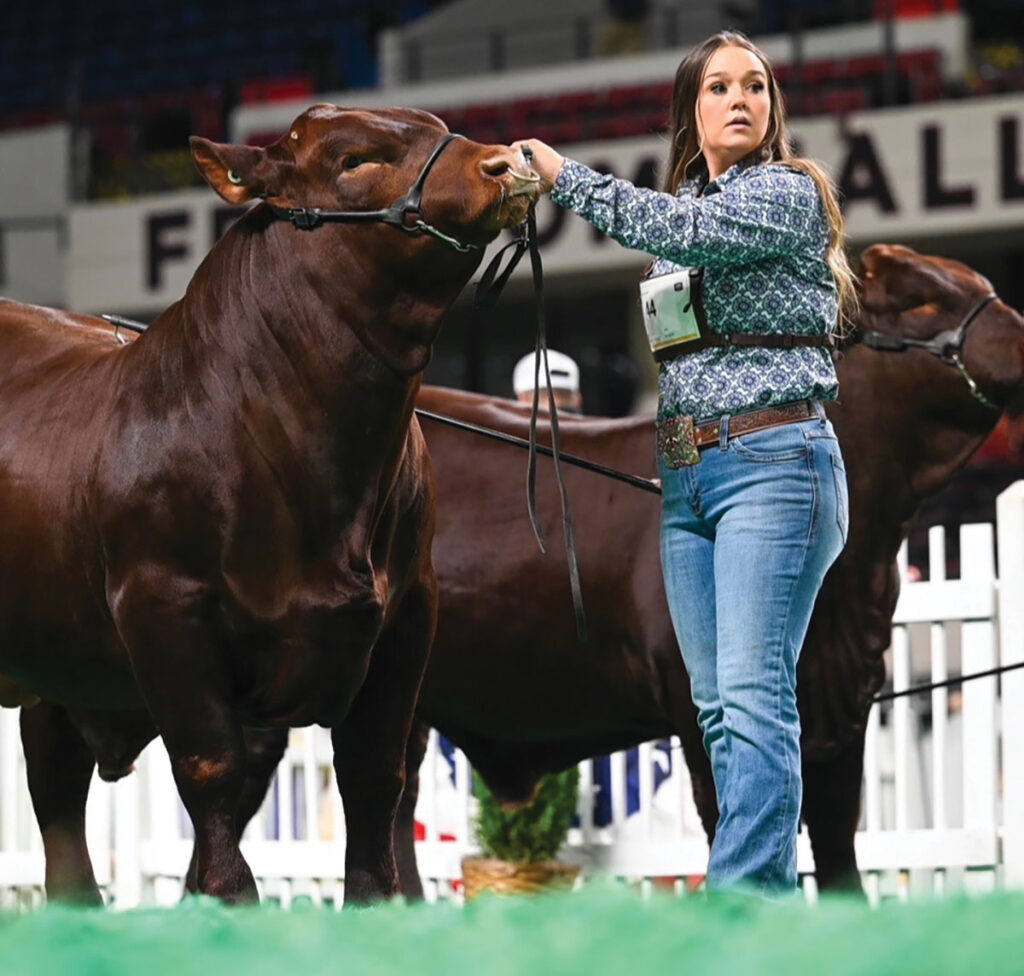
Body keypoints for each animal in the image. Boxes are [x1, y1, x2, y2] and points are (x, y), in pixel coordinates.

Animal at [0, 102, 540, 901]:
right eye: (354, 160)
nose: (503, 164)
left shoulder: (410, 612)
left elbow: (375, 789)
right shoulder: (162, 608)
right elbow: (214, 791)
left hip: (59, 665)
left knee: (58, 809)